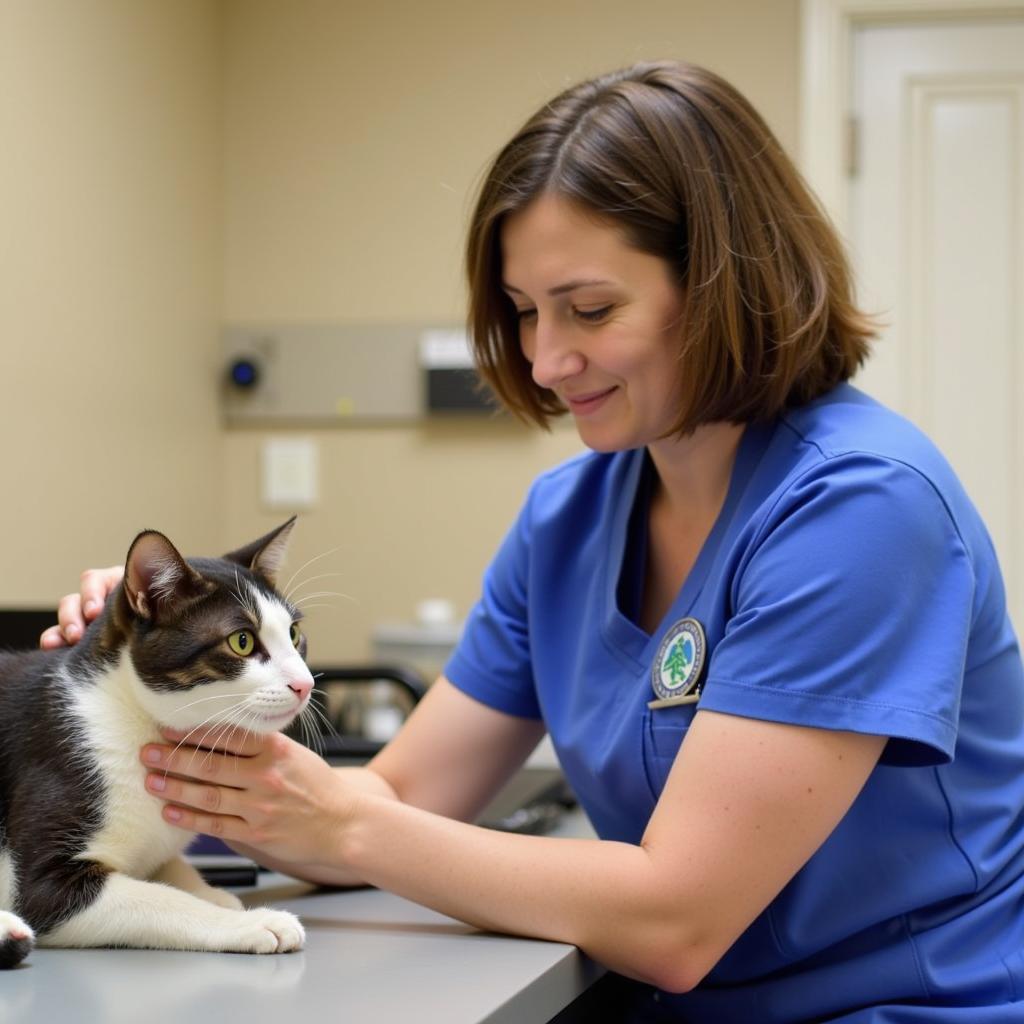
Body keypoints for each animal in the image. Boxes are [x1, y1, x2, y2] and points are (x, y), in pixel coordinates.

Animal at [0, 520, 315, 966]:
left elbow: (170, 864)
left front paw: (211, 891)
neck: (133, 718)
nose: (306, 684)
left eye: (294, 633)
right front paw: (251, 921)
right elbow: (158, 899)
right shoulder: (49, 859)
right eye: (242, 641)